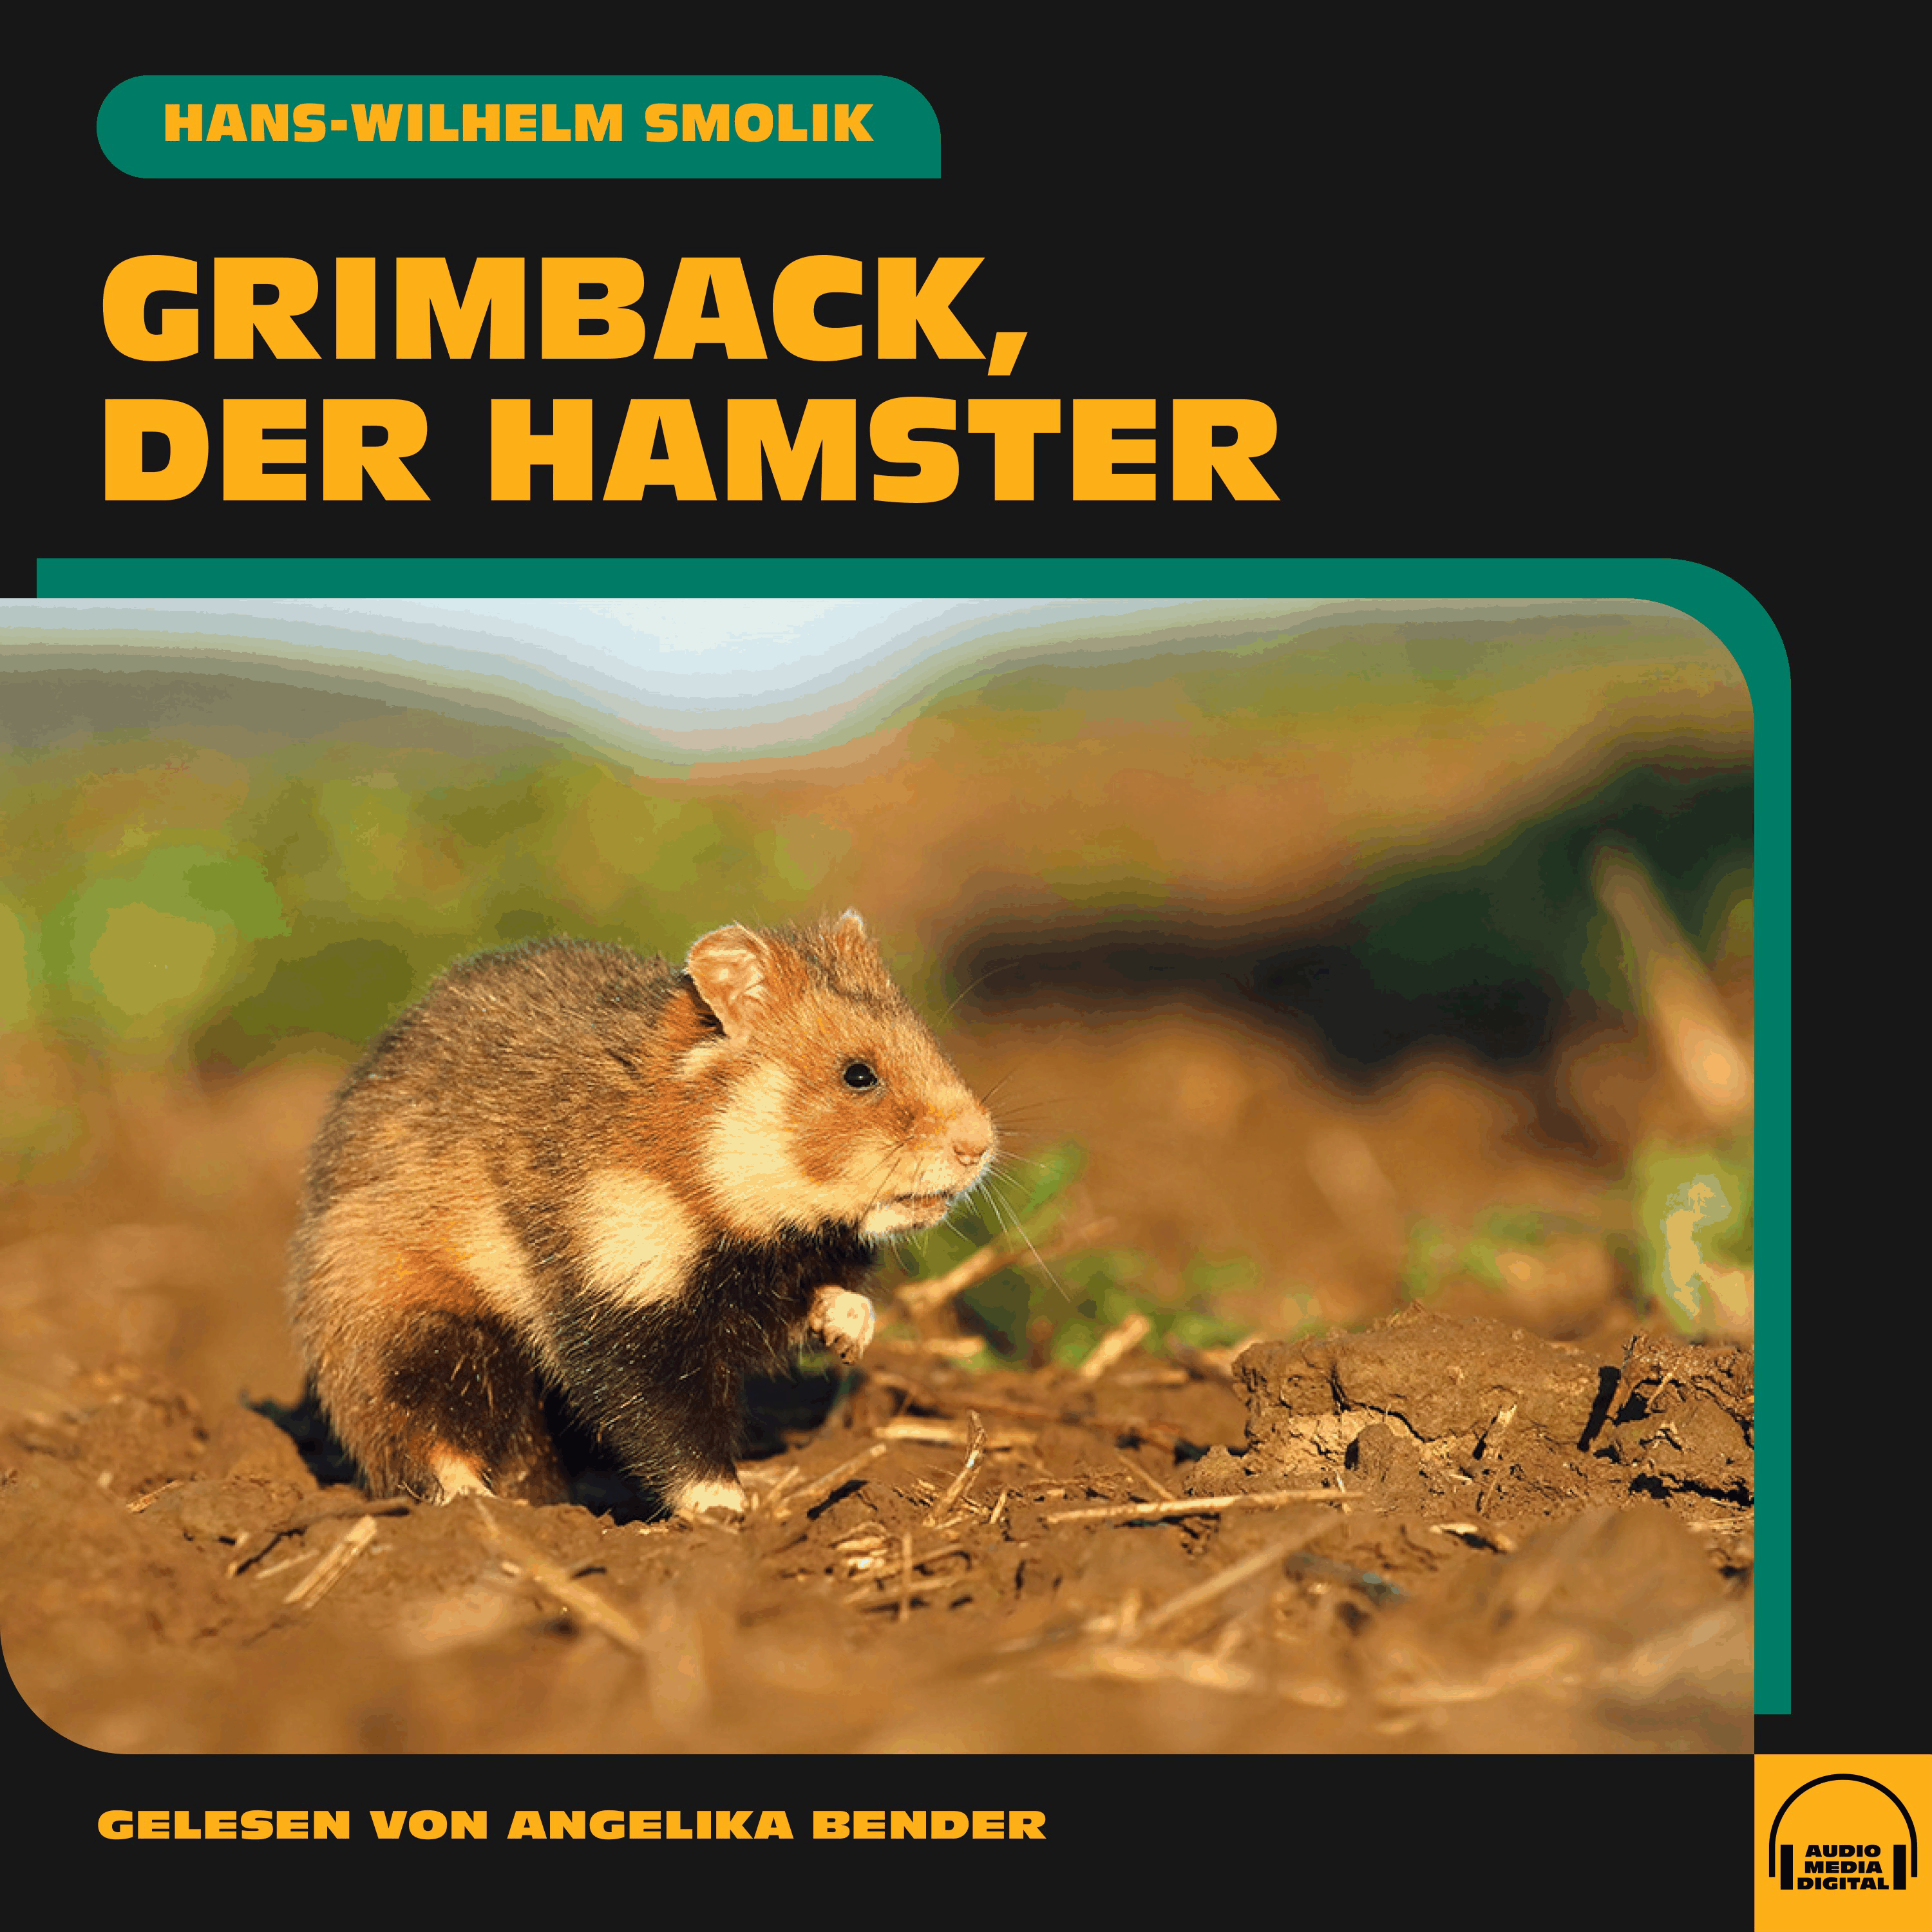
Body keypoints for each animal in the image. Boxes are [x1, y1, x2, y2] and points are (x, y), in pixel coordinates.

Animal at [286, 912, 996, 1519]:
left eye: (928, 1041)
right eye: (858, 1075)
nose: (980, 1145)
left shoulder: (775, 1274)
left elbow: (831, 1299)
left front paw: (849, 1335)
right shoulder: (619, 1292)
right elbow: (665, 1423)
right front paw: (727, 1512)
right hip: (411, 1329)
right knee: (413, 1432)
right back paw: (480, 1509)